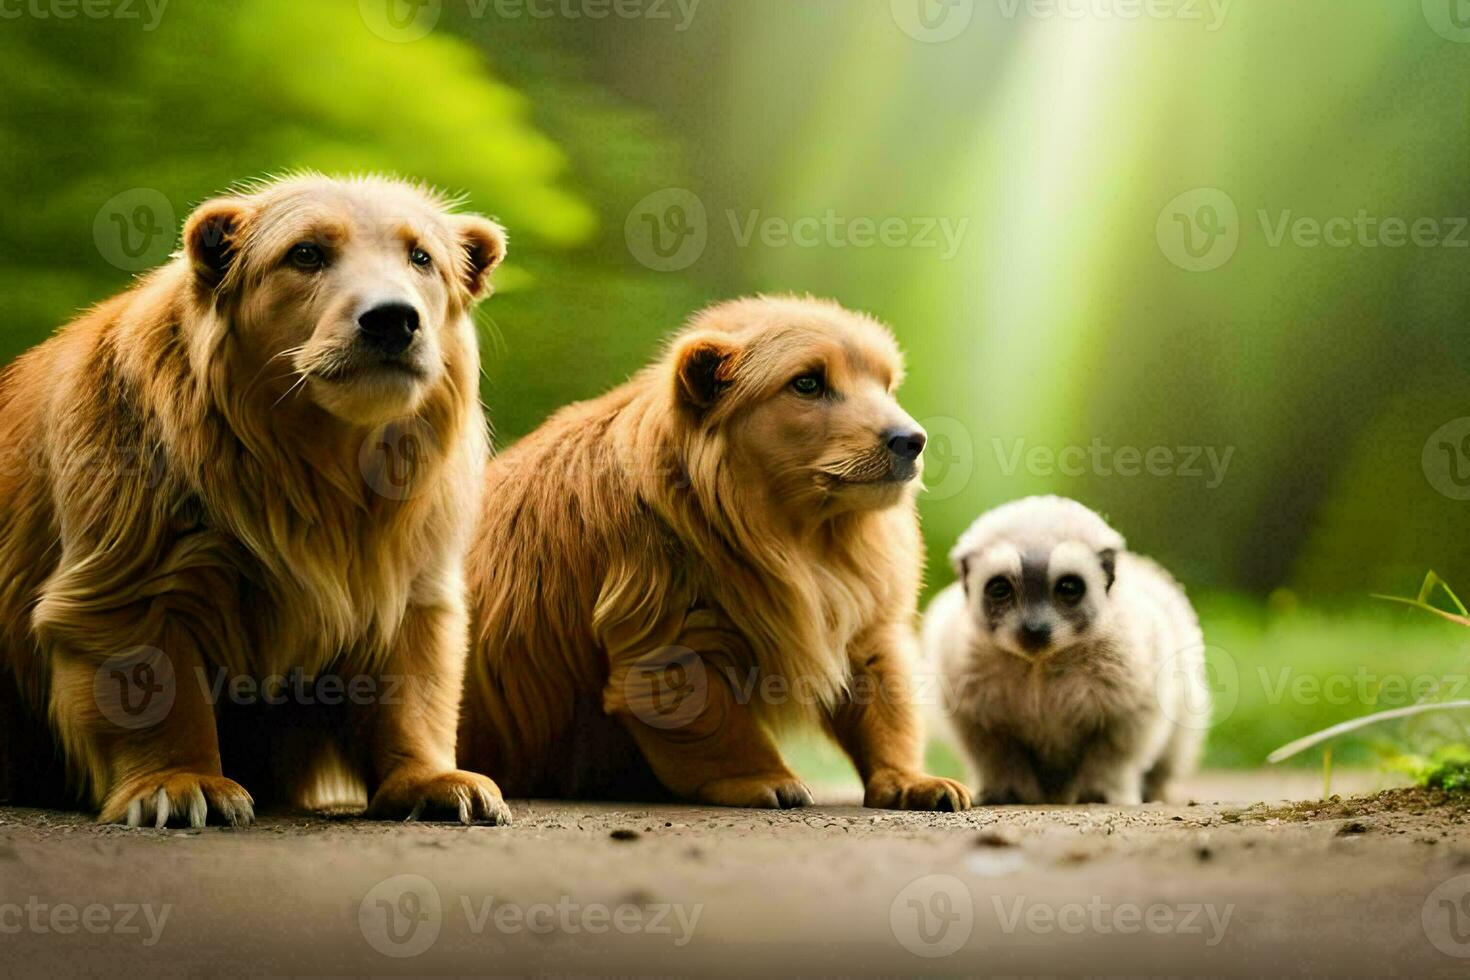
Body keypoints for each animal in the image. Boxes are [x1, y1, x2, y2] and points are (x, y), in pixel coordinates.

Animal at [0, 176, 511, 828]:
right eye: (306, 253)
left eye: (421, 257)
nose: (393, 319)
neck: (314, 471)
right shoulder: (130, 555)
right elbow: (156, 688)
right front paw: (180, 783)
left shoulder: (411, 563)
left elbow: (411, 687)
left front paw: (432, 780)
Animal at [458, 293, 976, 811]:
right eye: (807, 383)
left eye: (886, 386)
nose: (910, 440)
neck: (801, 541)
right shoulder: (669, 628)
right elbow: (721, 727)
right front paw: (764, 778)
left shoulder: (868, 621)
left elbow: (885, 705)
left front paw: (908, 779)